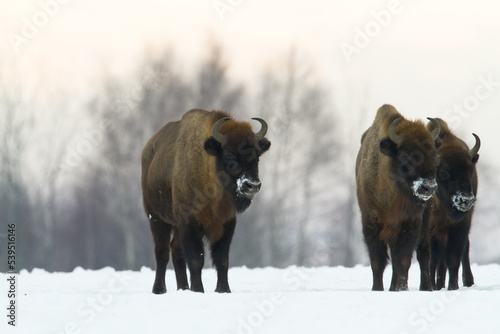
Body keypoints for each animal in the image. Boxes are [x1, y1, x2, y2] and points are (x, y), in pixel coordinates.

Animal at [141, 109, 272, 292]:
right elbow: (196, 259)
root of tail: (148, 150)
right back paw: (159, 289)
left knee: (176, 251)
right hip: (156, 218)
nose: (252, 185)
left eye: (257, 155)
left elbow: (222, 259)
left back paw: (183, 288)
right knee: (162, 252)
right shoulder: (190, 223)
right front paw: (198, 290)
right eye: (229, 155)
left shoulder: (226, 223)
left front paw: (223, 290)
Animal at [356, 104, 442, 290]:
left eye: (433, 154)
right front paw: (378, 289)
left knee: (423, 252)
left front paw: (401, 289)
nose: (428, 187)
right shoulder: (371, 222)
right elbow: (378, 261)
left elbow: (403, 260)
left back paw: (426, 287)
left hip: (425, 219)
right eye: (405, 155)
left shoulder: (410, 223)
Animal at [426, 118, 480, 290]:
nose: (466, 200)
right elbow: (433, 259)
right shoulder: (431, 229)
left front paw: (453, 287)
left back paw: (467, 281)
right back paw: (437, 284)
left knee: (463, 250)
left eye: (470, 169)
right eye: (444, 172)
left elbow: (454, 257)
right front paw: (433, 286)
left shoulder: (460, 226)